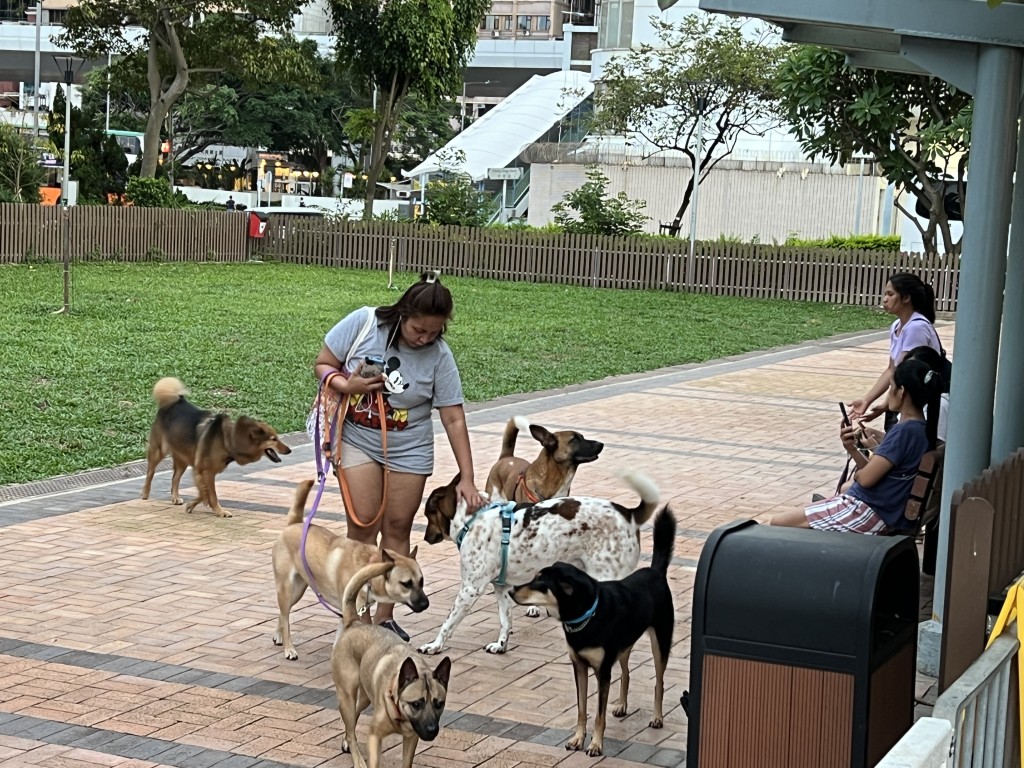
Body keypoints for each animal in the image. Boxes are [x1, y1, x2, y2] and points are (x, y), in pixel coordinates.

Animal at [140, 376, 292, 520]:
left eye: (277, 437)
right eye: (273, 439)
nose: (289, 450)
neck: (227, 440)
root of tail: (176, 402)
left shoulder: (203, 471)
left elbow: (204, 492)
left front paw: (192, 505)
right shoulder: (204, 470)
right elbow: (210, 494)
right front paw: (220, 511)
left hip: (182, 456)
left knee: (175, 478)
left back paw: (175, 497)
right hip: (159, 451)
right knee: (151, 472)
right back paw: (145, 493)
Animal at [272, 481, 428, 663]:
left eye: (421, 581)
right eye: (406, 584)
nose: (426, 604)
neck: (368, 566)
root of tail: (294, 524)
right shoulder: (349, 611)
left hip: (298, 590)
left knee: (283, 614)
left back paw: (279, 636)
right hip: (287, 589)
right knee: (285, 617)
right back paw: (289, 648)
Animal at [331, 561, 452, 768]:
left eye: (439, 704)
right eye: (417, 704)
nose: (432, 730)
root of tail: (354, 622)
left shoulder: (411, 738)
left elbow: (407, 763)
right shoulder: (374, 737)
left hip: (365, 695)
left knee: (353, 718)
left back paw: (346, 740)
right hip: (347, 693)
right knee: (350, 724)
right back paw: (357, 758)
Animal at [419, 468, 659, 655]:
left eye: (428, 513)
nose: (425, 538)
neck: (472, 519)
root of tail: (628, 514)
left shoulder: (470, 589)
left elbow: (447, 623)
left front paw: (435, 646)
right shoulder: (502, 586)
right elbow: (506, 620)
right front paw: (501, 645)